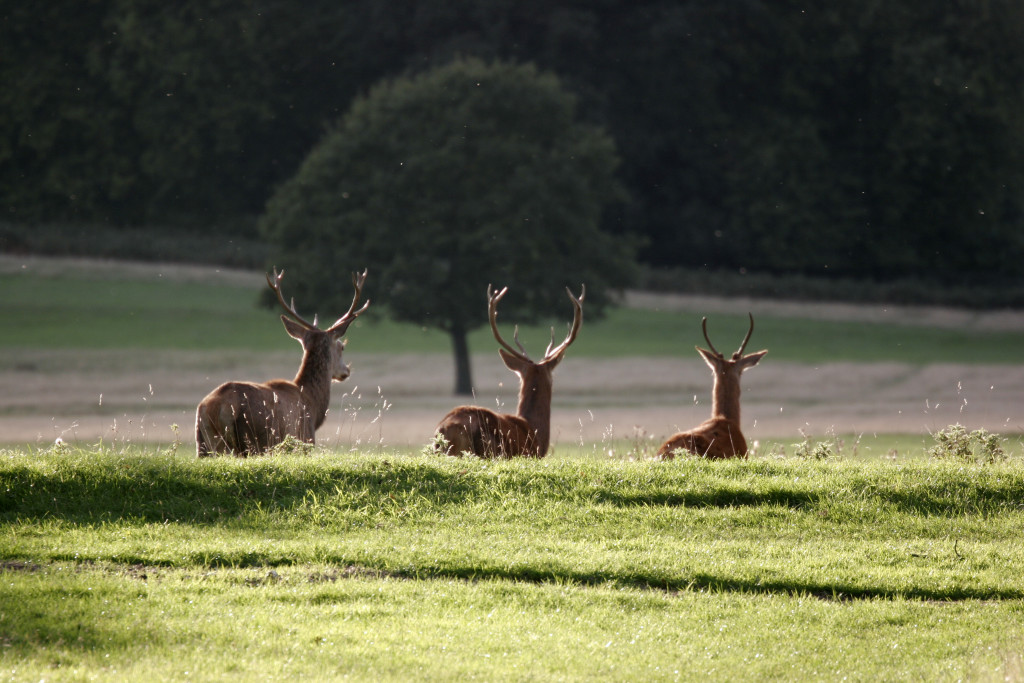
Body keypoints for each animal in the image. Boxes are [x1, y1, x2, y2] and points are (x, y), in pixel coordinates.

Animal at [192, 270, 368, 456]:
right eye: (342, 347)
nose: (346, 370)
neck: (312, 404)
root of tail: (215, 408)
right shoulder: (304, 440)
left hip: (202, 443)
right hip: (251, 441)